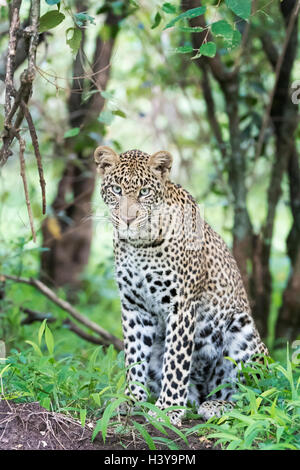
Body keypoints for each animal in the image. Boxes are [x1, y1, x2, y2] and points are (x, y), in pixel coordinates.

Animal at [93, 146, 268, 426]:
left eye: (145, 191)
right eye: (116, 189)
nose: (127, 219)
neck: (140, 245)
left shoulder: (181, 306)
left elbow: (176, 361)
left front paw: (167, 409)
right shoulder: (133, 306)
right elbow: (134, 355)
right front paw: (130, 399)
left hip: (243, 332)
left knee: (252, 394)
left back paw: (217, 405)